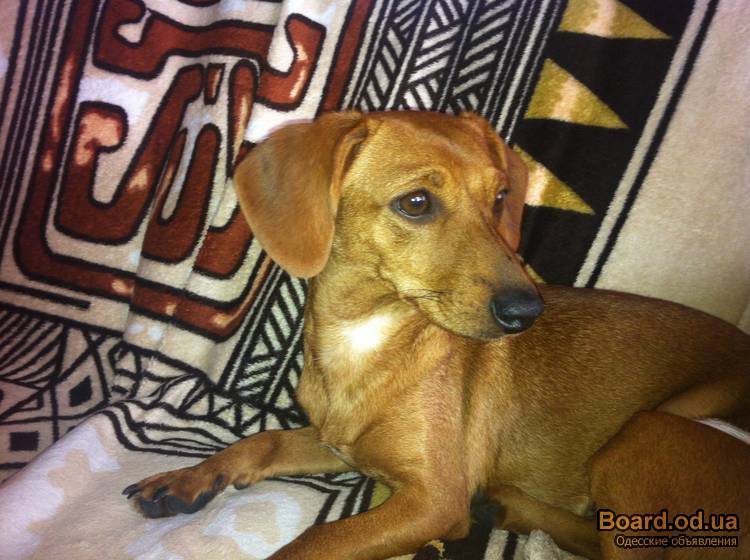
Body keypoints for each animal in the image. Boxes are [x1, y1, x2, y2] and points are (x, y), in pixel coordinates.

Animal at [123, 111, 750, 559]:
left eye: (499, 199)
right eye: (417, 202)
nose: (528, 311)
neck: (364, 341)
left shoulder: (434, 502)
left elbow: (314, 543)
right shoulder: (338, 444)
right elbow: (261, 442)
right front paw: (187, 478)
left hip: (651, 430)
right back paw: (508, 506)